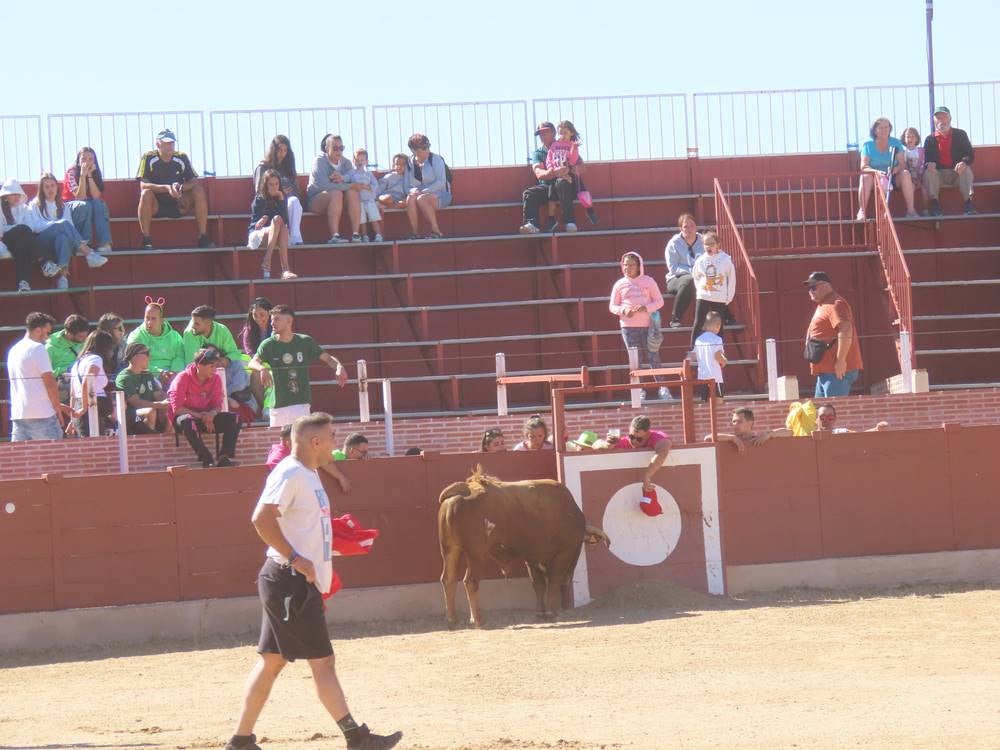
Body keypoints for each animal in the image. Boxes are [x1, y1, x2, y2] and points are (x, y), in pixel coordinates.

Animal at [438, 468, 608, 632]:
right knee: (470, 581)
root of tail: (463, 490)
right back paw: (478, 620)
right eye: (580, 544)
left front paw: (541, 613)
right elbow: (553, 581)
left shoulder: (531, 558)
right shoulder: (562, 553)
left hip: (450, 550)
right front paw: (551, 612)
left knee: (448, 580)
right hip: (476, 554)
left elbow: (538, 584)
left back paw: (452, 621)